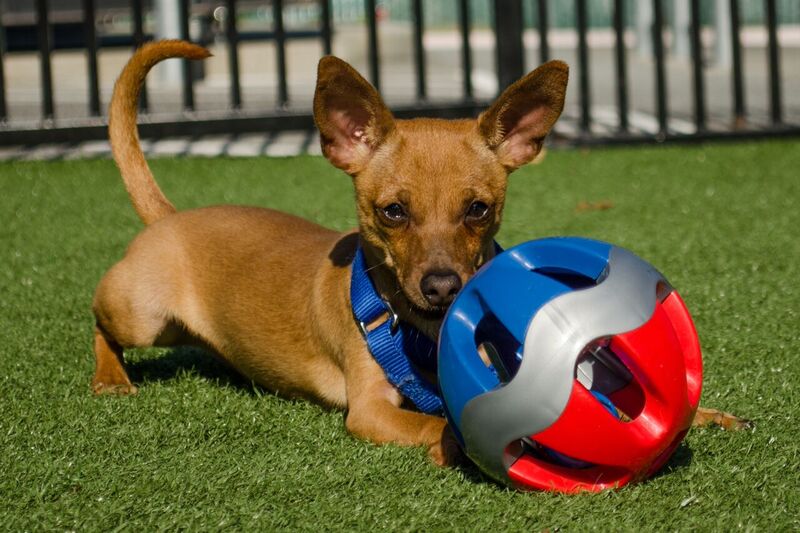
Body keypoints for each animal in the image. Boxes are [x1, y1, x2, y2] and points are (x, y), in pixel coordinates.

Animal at [92, 40, 744, 466]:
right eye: (392, 212)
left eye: (478, 209)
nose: (442, 287)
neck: (418, 332)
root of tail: (171, 216)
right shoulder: (371, 412)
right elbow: (438, 422)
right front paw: (468, 441)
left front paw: (701, 415)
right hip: (142, 316)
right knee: (98, 321)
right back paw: (111, 380)